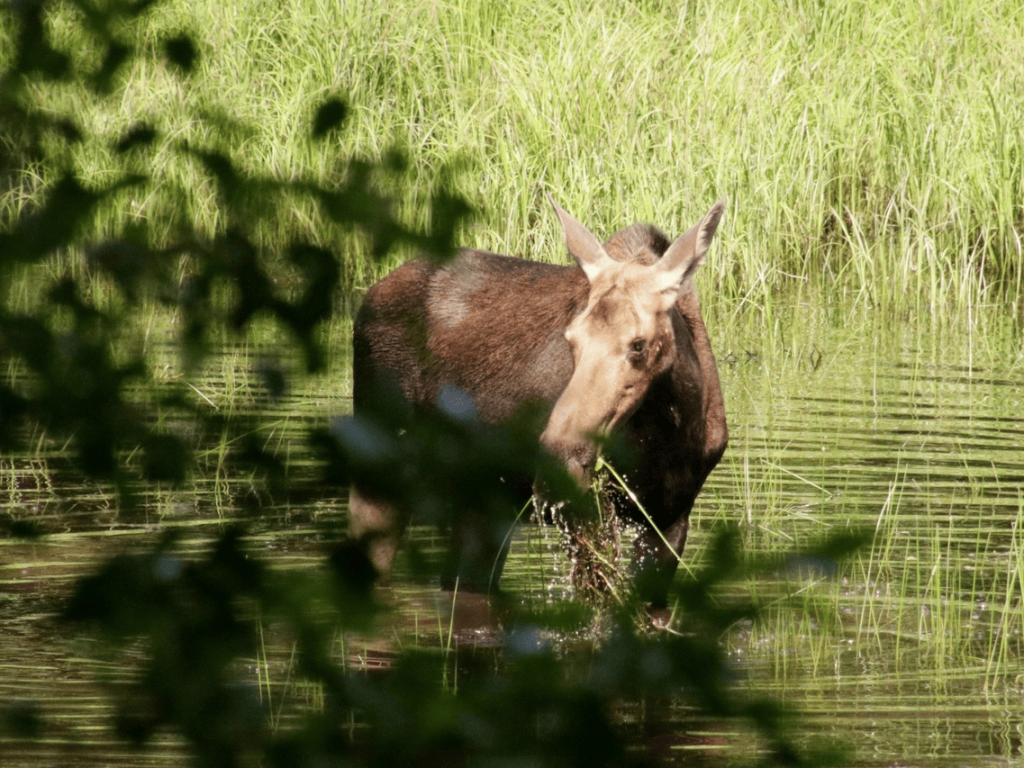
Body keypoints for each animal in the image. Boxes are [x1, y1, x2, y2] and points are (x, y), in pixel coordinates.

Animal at [350, 198, 729, 614]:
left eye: (638, 344)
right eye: (571, 337)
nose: (560, 457)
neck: (670, 432)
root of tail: (369, 297)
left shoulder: (672, 519)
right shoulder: (585, 516)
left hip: (481, 500)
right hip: (377, 472)